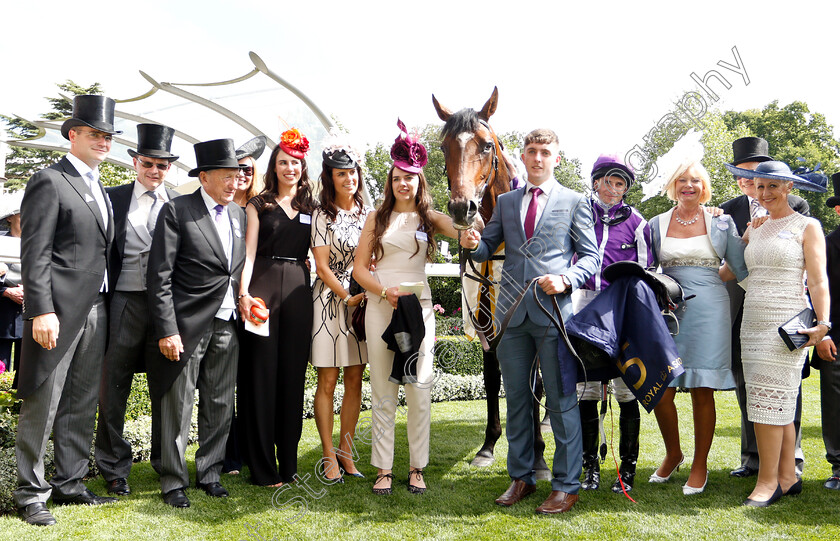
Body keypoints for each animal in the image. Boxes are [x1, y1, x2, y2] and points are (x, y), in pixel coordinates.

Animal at [434, 85, 552, 476]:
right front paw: (488, 445)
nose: (462, 208)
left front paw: (539, 454)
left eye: (486, 145)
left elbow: (533, 375)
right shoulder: (484, 311)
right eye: (444, 146)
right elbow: (491, 373)